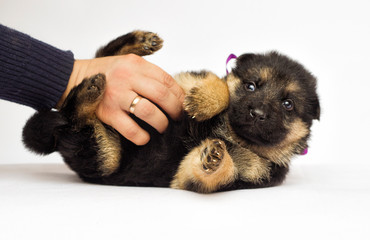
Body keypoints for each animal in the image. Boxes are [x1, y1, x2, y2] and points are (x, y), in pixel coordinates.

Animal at [21, 31, 320, 193]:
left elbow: (218, 171)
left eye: (288, 104)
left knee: (76, 120)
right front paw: (206, 100)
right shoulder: (181, 84)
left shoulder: (244, 174)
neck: (229, 132)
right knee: (104, 59)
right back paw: (137, 43)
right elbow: (220, 84)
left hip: (102, 154)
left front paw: (215, 157)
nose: (257, 113)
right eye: (250, 86)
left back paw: (88, 92)